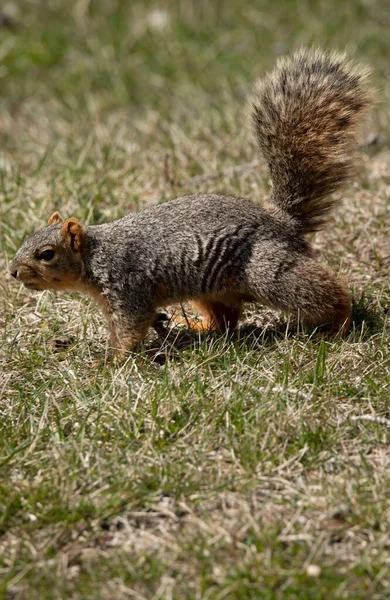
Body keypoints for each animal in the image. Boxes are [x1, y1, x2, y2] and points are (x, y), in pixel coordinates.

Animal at [7, 50, 370, 356]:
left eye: (46, 255)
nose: (12, 271)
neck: (94, 256)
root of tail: (282, 220)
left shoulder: (128, 288)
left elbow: (130, 329)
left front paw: (109, 363)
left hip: (268, 271)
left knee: (319, 291)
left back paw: (340, 323)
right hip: (209, 290)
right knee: (225, 320)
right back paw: (195, 327)